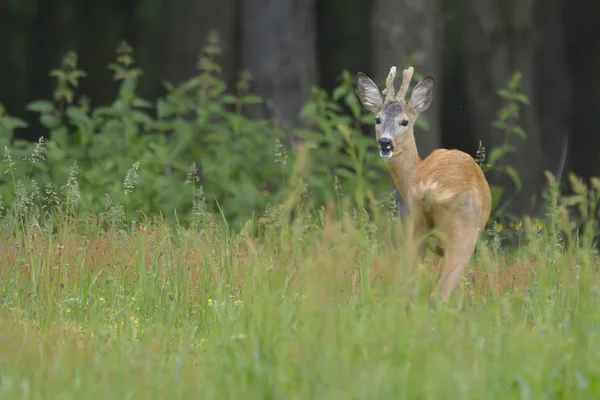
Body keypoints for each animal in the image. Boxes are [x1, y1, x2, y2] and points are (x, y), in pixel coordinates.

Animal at [356, 66, 492, 304]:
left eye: (404, 122)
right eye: (378, 119)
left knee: (408, 286)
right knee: (441, 294)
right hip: (463, 235)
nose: (385, 142)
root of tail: (431, 189)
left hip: (415, 227)